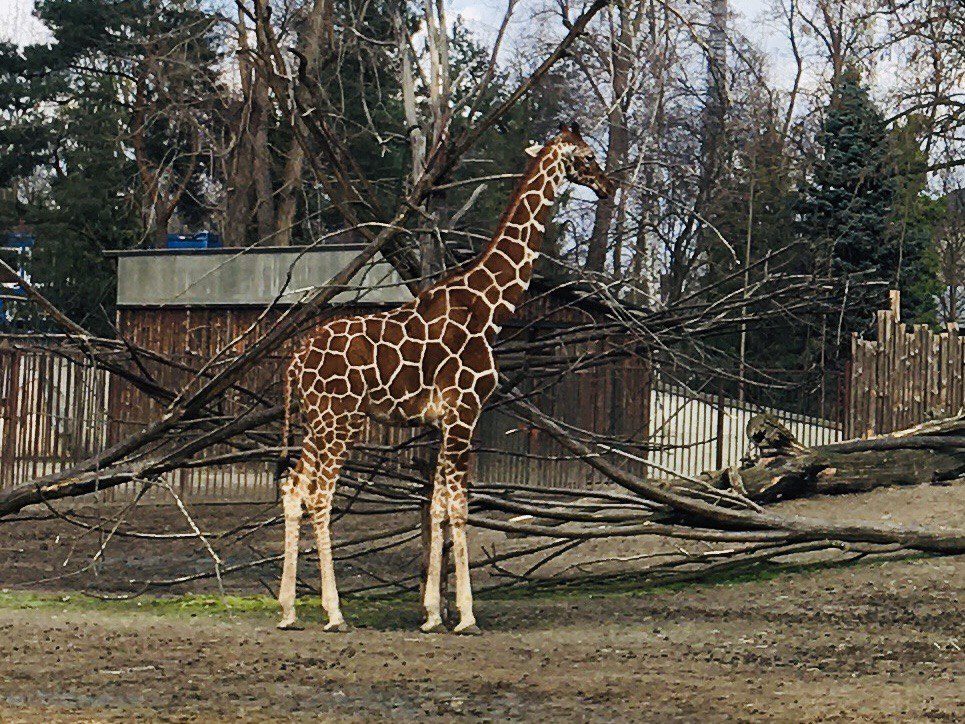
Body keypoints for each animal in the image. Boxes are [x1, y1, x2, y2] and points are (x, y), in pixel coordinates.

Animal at [274, 124, 612, 632]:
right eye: (588, 156)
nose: (608, 185)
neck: (490, 308)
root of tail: (293, 360)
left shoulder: (440, 422)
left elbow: (434, 506)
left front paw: (433, 613)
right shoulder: (465, 414)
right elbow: (459, 505)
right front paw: (467, 615)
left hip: (315, 422)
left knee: (294, 488)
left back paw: (289, 609)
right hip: (340, 421)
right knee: (320, 495)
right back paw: (334, 612)